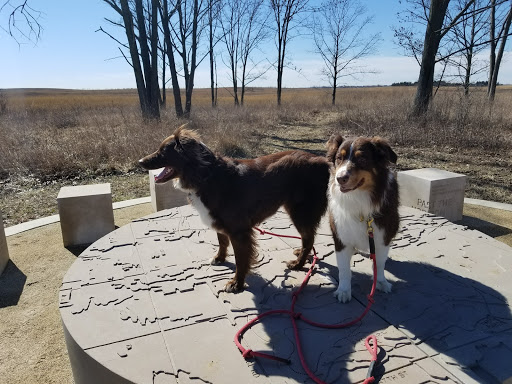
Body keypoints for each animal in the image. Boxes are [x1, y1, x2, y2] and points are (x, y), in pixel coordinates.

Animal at [138, 125, 330, 292]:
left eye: (163, 151)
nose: (140, 162)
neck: (205, 176)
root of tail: (323, 161)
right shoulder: (219, 222)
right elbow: (222, 241)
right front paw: (220, 258)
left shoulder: (239, 231)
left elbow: (240, 259)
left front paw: (236, 283)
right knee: (307, 238)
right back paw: (301, 255)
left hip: (300, 211)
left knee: (309, 238)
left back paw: (298, 263)